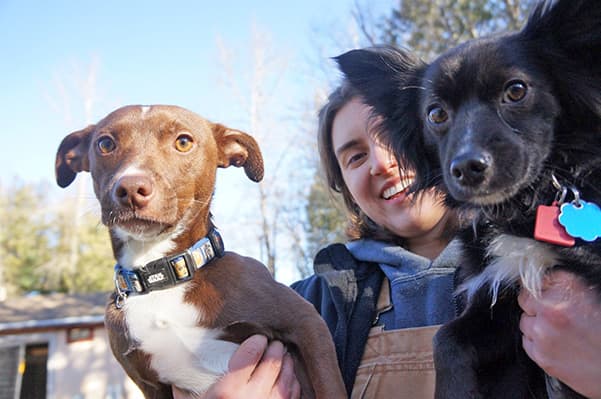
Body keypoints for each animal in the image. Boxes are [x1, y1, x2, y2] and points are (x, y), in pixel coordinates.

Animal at [56, 105, 346, 399]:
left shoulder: (307, 323)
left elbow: (330, 387)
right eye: (105, 144)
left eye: (183, 142)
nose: (131, 188)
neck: (162, 275)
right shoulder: (152, 385)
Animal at [336, 0, 600, 399]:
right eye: (436, 113)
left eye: (517, 90)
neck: (527, 206)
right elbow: (446, 339)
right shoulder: (500, 298)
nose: (466, 167)